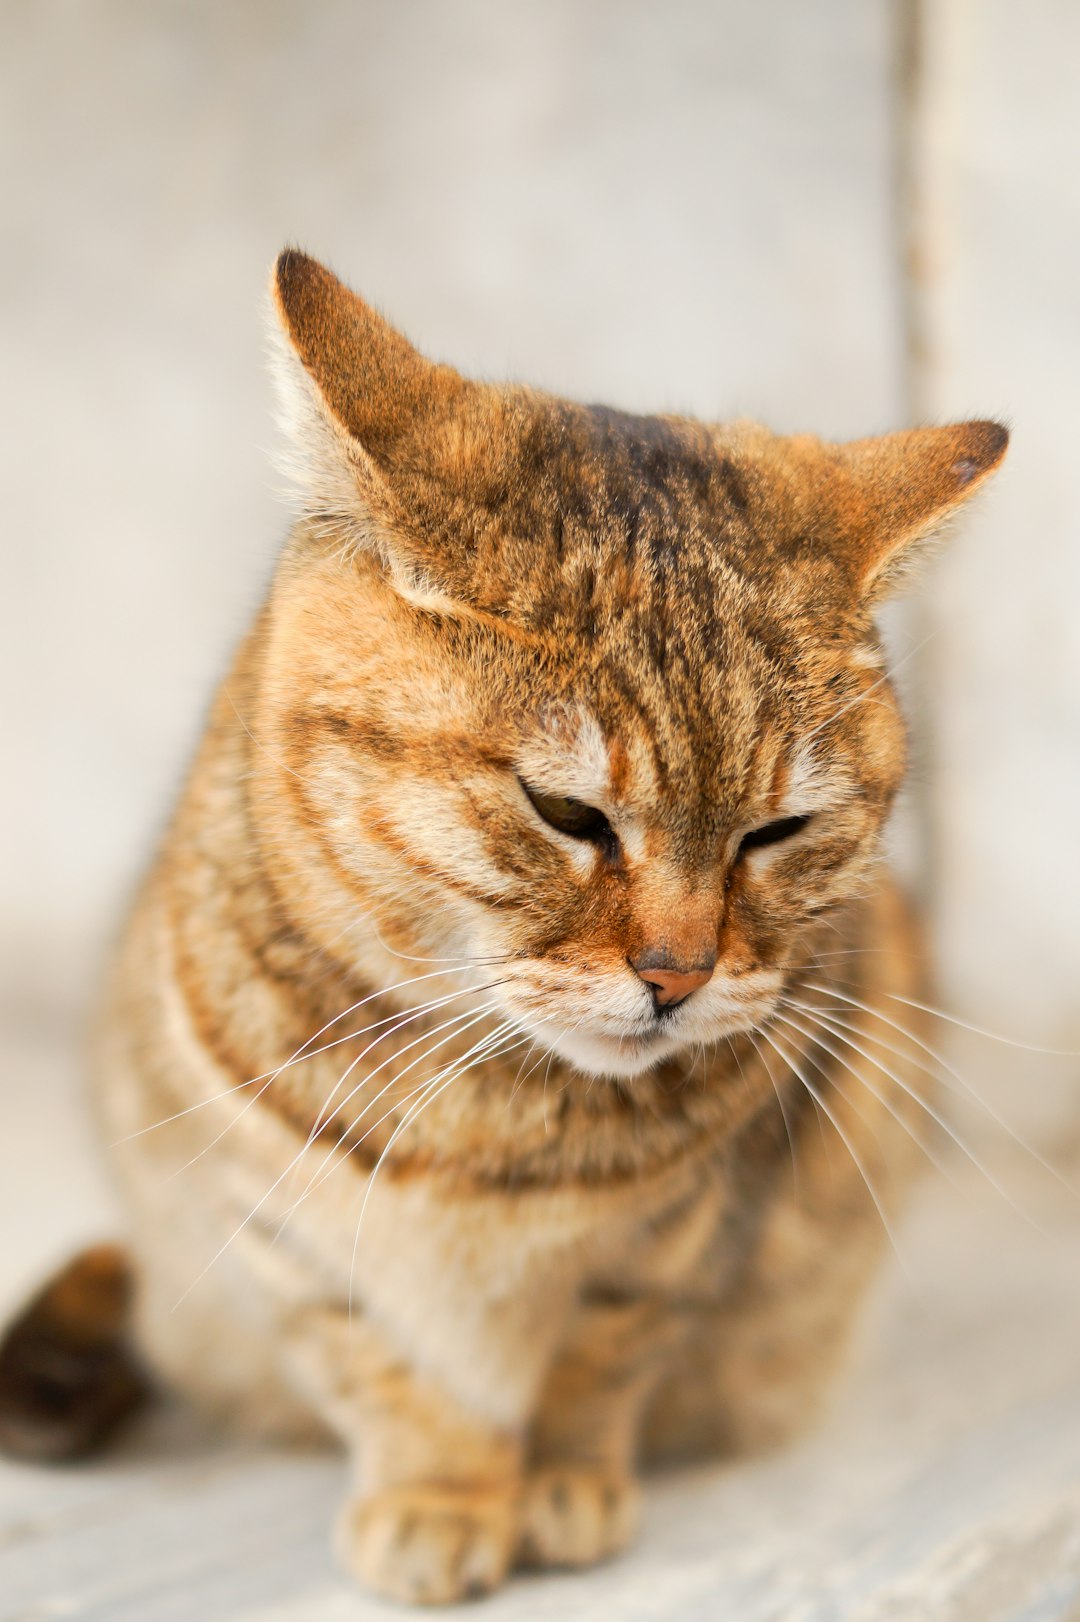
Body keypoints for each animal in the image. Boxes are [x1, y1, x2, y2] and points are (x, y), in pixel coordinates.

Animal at [0, 246, 998, 1602]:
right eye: (567, 809)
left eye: (775, 831)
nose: (679, 973)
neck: (491, 1122)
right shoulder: (271, 1218)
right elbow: (382, 1365)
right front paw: (440, 1493)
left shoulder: (692, 1225)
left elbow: (602, 1351)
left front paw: (566, 1479)